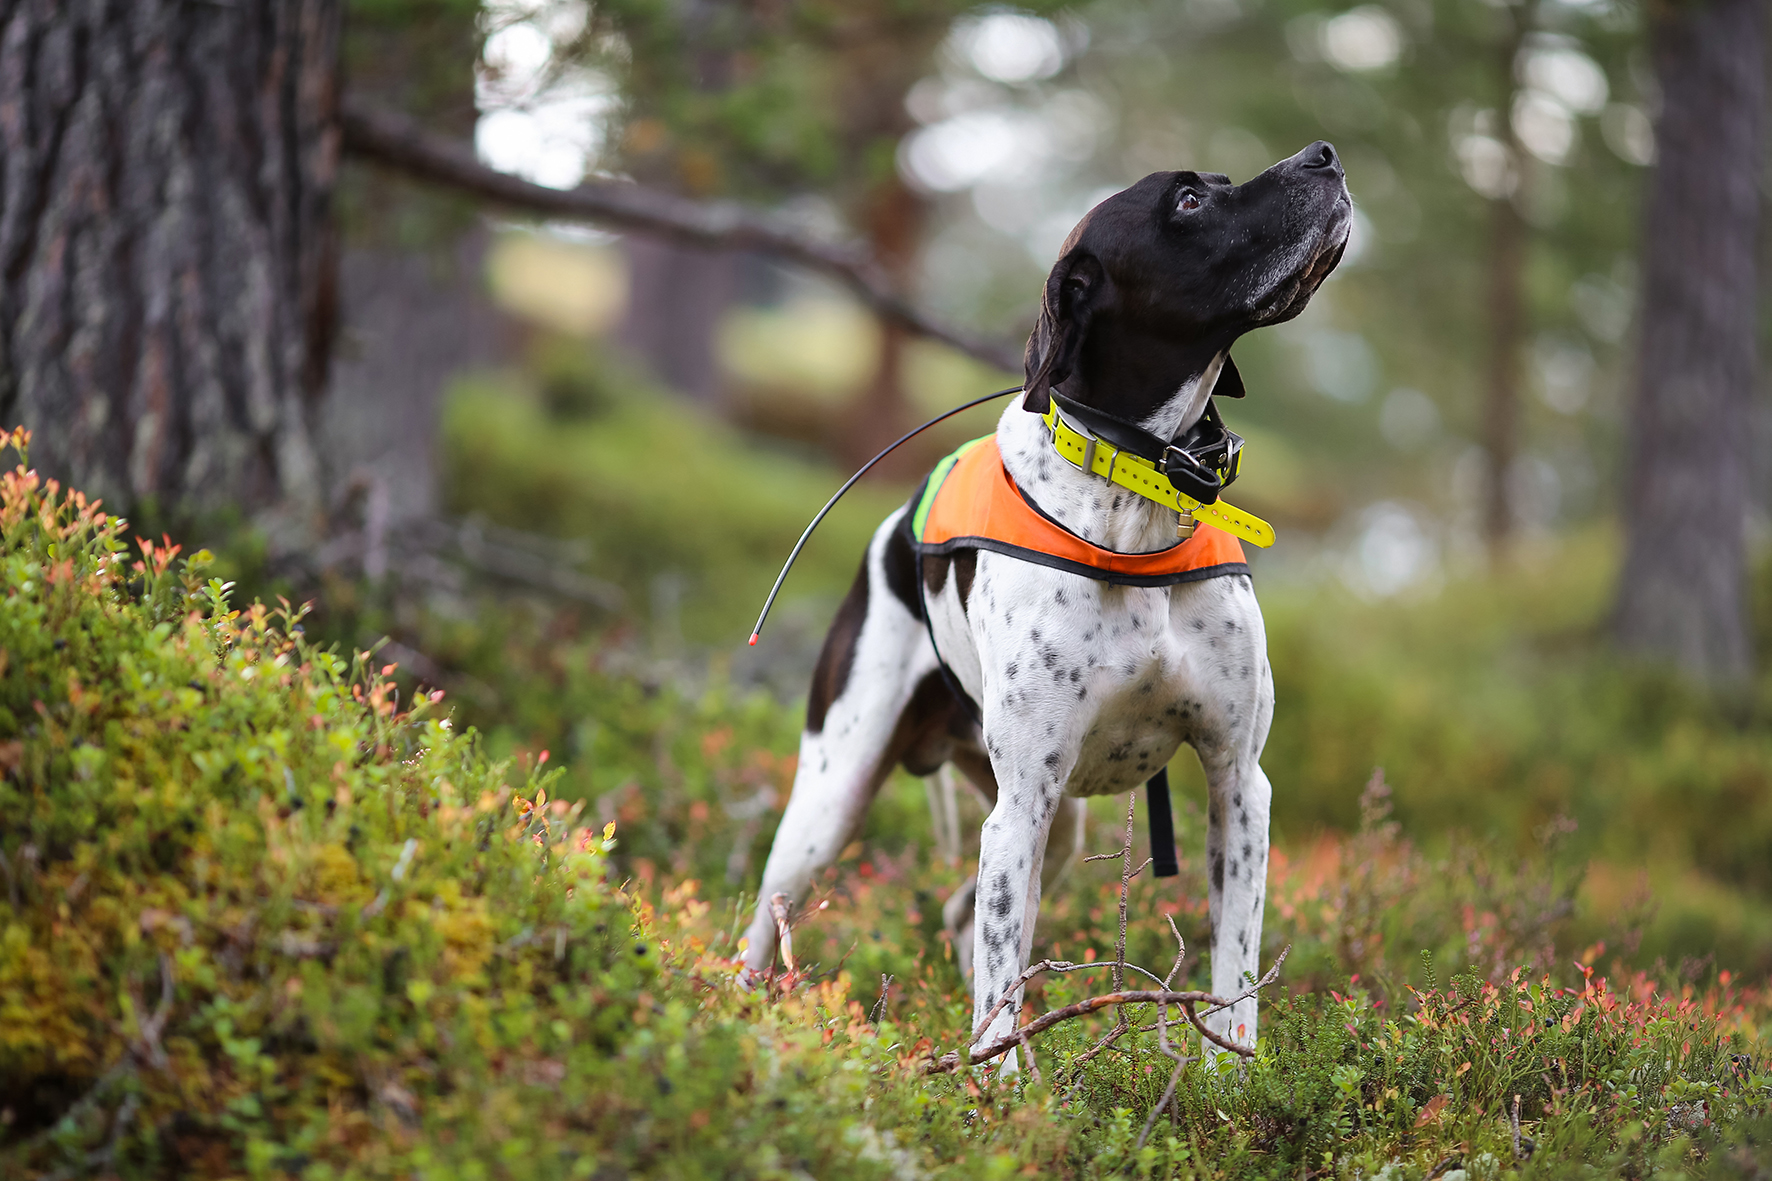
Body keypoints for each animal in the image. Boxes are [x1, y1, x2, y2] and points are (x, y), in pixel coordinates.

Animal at [740, 138, 1346, 1056]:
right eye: (1190, 201)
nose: (1325, 154)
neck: (1136, 498)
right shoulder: (1023, 799)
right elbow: (998, 985)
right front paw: (1001, 1090)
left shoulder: (1239, 782)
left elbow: (1233, 981)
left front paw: (1233, 1080)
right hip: (836, 801)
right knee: (770, 928)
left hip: (1054, 828)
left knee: (966, 914)